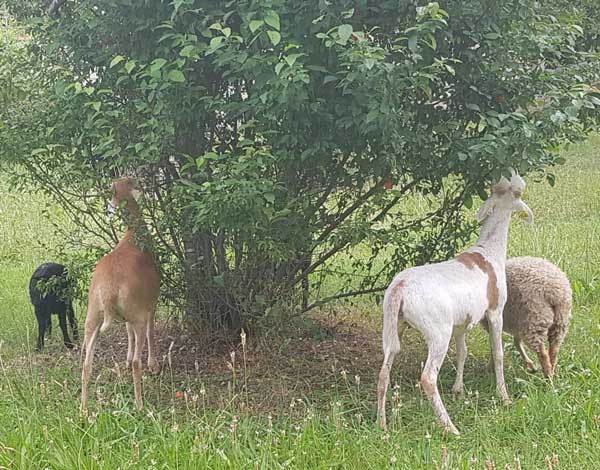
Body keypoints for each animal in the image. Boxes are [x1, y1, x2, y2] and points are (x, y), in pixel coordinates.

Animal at [79, 178, 161, 414]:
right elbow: (151, 331)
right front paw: (153, 363)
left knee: (86, 363)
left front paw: (124, 359)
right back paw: (140, 405)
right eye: (136, 183)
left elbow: (127, 331)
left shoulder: (129, 314)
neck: (133, 236)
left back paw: (83, 409)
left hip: (92, 313)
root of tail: (108, 289)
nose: (148, 187)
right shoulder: (150, 301)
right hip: (137, 311)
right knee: (137, 361)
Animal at [378, 172, 532, 434]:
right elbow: (498, 353)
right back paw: (450, 427)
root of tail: (400, 289)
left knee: (384, 372)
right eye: (516, 193)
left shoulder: (462, 323)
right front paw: (504, 396)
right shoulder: (495, 310)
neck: (490, 251)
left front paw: (458, 390)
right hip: (437, 331)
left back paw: (382, 426)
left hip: (393, 325)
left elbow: (462, 352)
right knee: (428, 378)